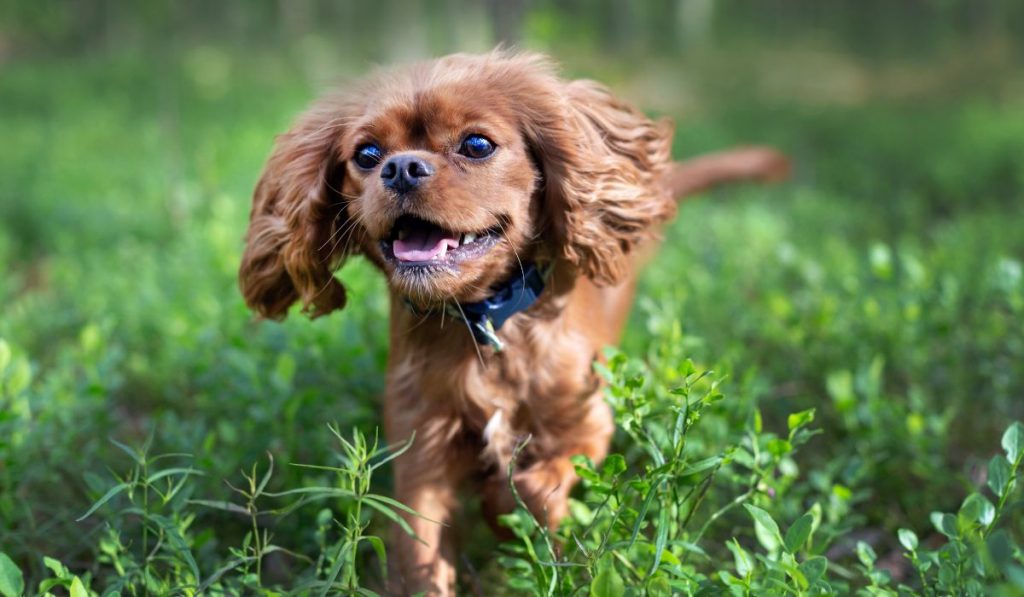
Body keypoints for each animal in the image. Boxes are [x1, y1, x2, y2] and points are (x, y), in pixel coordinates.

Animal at [237, 50, 782, 593]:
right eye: (367, 155)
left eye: (476, 145)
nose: (401, 168)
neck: (486, 323)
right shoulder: (422, 450)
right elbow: (419, 550)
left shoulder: (587, 426)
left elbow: (534, 487)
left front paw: (508, 517)